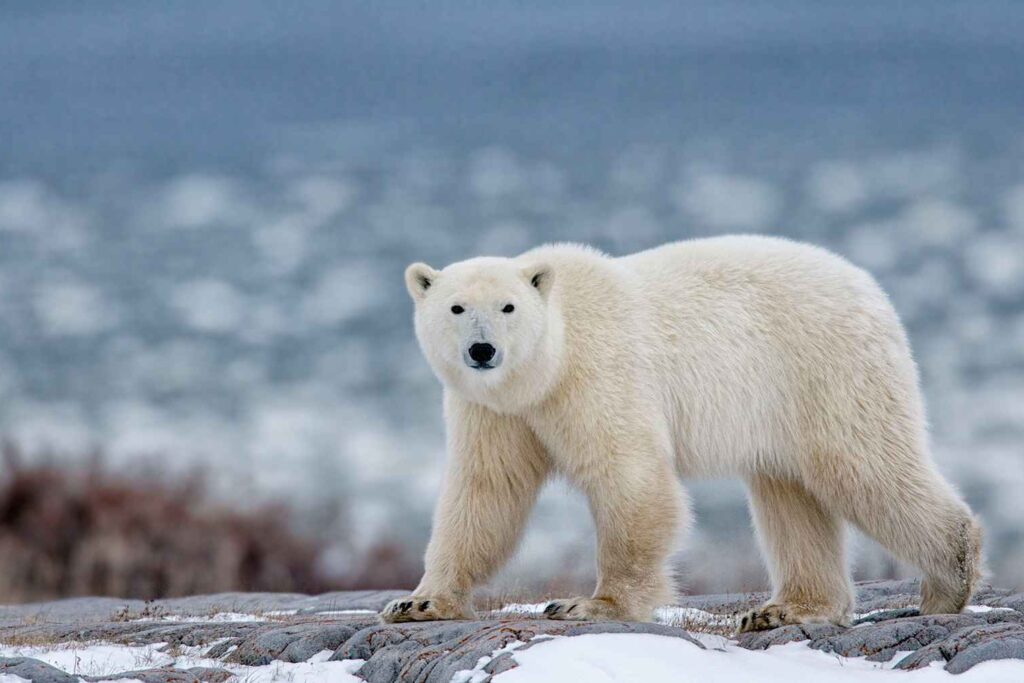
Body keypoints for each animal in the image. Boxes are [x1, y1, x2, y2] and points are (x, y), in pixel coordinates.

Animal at [385, 235, 983, 630]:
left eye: (508, 307)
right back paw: (784, 608)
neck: (549, 363)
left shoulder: (598, 375)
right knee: (790, 495)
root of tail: (870, 288)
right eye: (456, 307)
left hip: (826, 369)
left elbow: (630, 478)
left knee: (864, 467)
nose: (482, 350)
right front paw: (418, 602)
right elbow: (486, 492)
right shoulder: (494, 411)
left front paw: (590, 604)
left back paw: (948, 581)